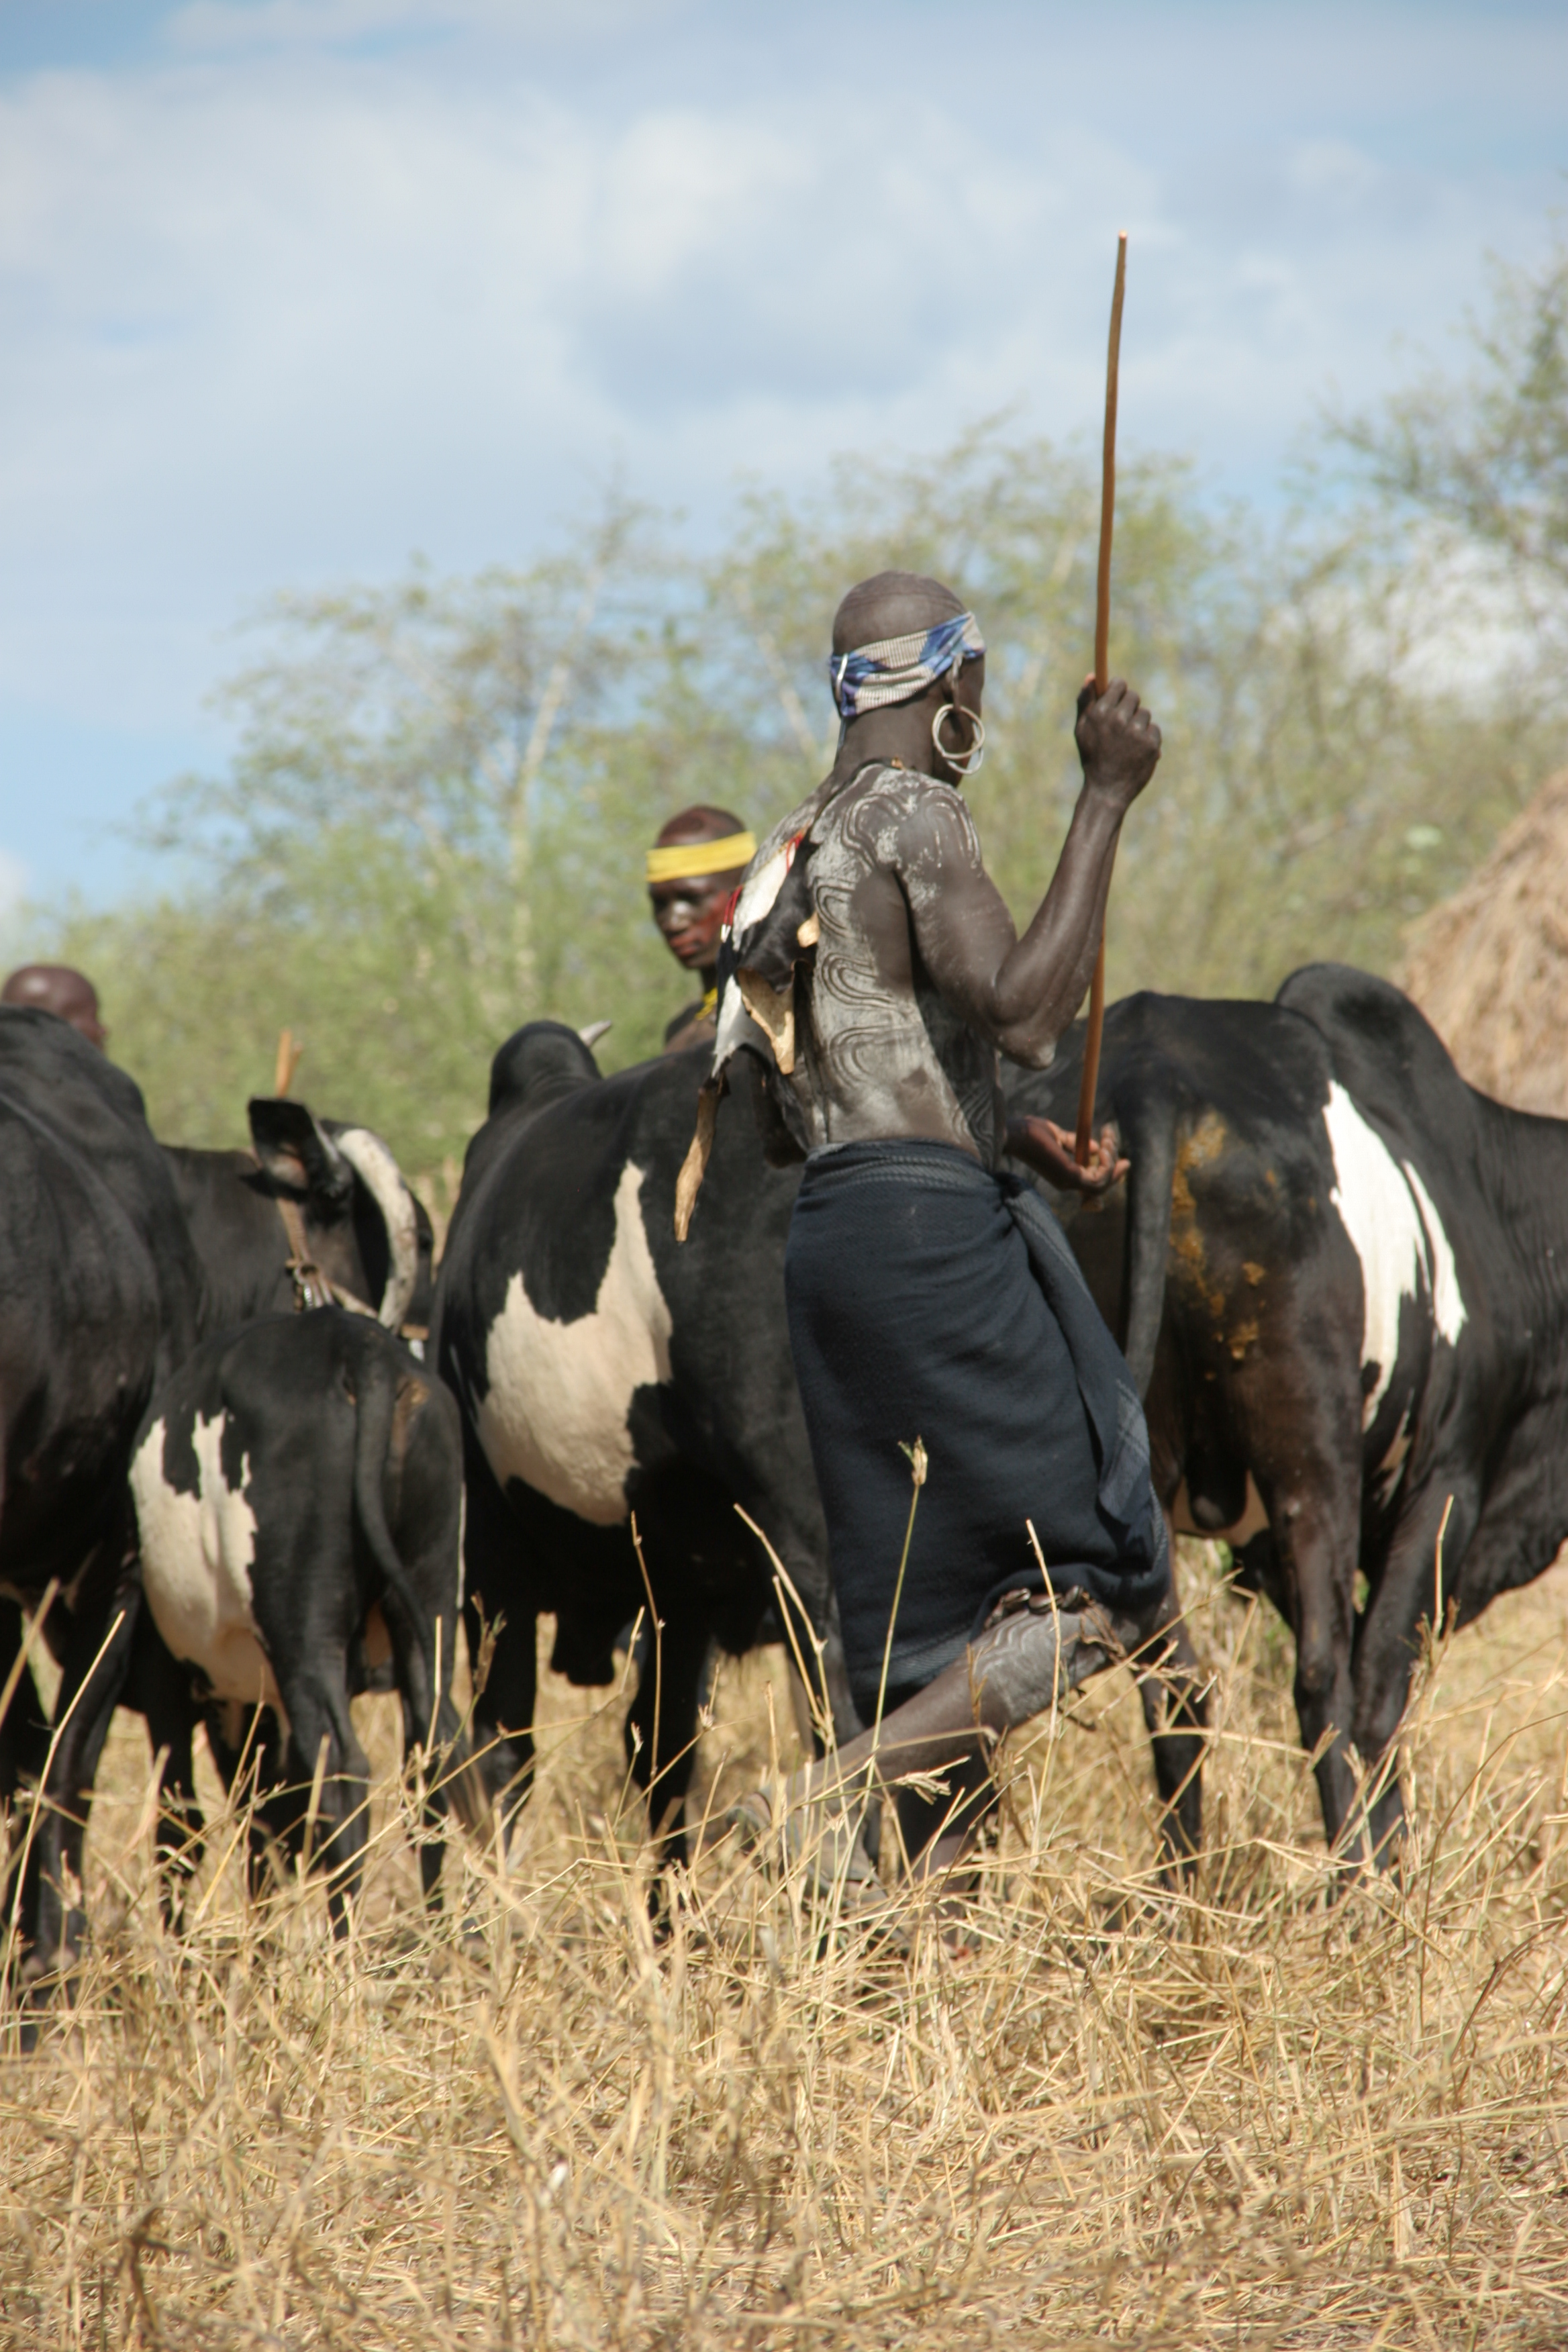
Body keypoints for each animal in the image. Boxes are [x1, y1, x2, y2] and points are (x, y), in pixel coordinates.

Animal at [116, 1308, 472, 1928]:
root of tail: (357, 1345)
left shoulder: (168, 1684)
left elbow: (182, 1828)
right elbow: (268, 1824)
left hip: (301, 1631)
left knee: (344, 1775)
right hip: (429, 1604)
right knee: (428, 1760)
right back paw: (437, 1935)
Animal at [1006, 964, 1561, 1863]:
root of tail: (1150, 1076)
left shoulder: (1259, 1542)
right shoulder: (1446, 1483)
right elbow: (1377, 1686)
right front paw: (1389, 1864)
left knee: (1175, 1693)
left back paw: (1183, 1889)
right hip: (1311, 1463)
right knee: (1322, 1683)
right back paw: (1349, 1883)